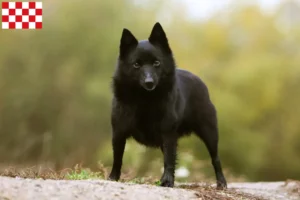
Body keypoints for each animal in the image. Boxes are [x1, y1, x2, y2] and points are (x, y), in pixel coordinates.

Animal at [108, 21, 227, 189]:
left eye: (156, 63)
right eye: (136, 64)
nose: (149, 82)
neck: (144, 99)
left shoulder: (168, 133)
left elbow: (169, 159)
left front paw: (167, 181)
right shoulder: (118, 132)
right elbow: (117, 157)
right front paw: (113, 177)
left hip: (209, 132)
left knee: (215, 158)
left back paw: (221, 182)